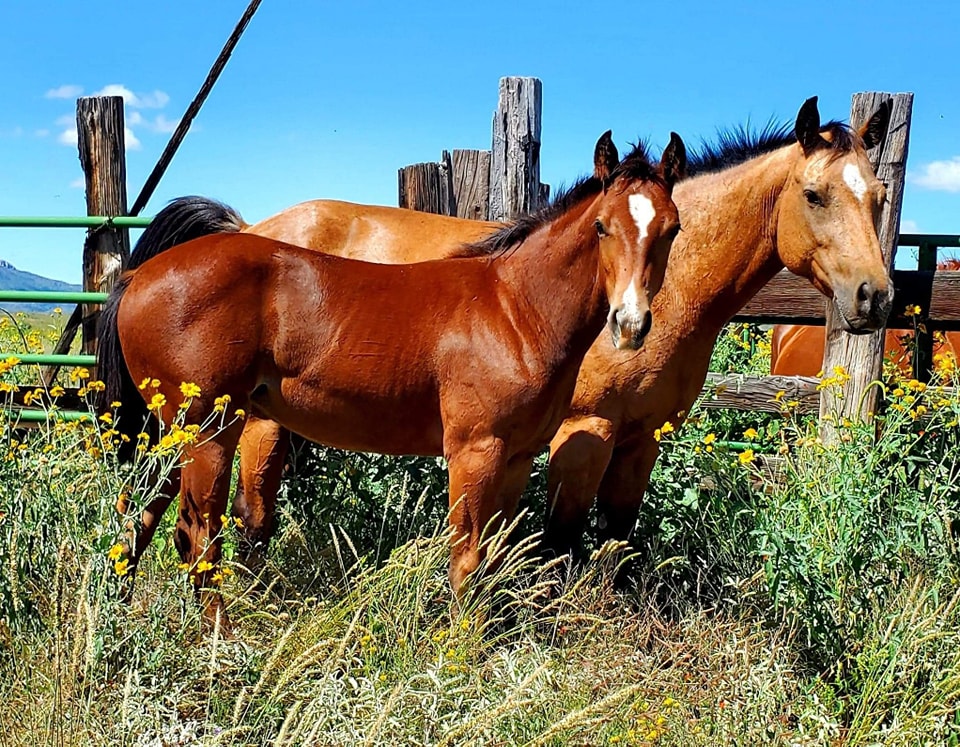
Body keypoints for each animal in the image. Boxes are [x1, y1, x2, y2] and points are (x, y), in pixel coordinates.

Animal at [100, 132, 686, 623]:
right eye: (601, 227)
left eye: (671, 229)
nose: (631, 324)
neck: (513, 307)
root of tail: (137, 276)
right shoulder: (475, 450)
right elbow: (467, 559)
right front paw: (461, 651)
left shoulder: (517, 458)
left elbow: (498, 556)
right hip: (208, 432)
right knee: (197, 534)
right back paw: (220, 642)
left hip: (176, 434)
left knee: (137, 515)